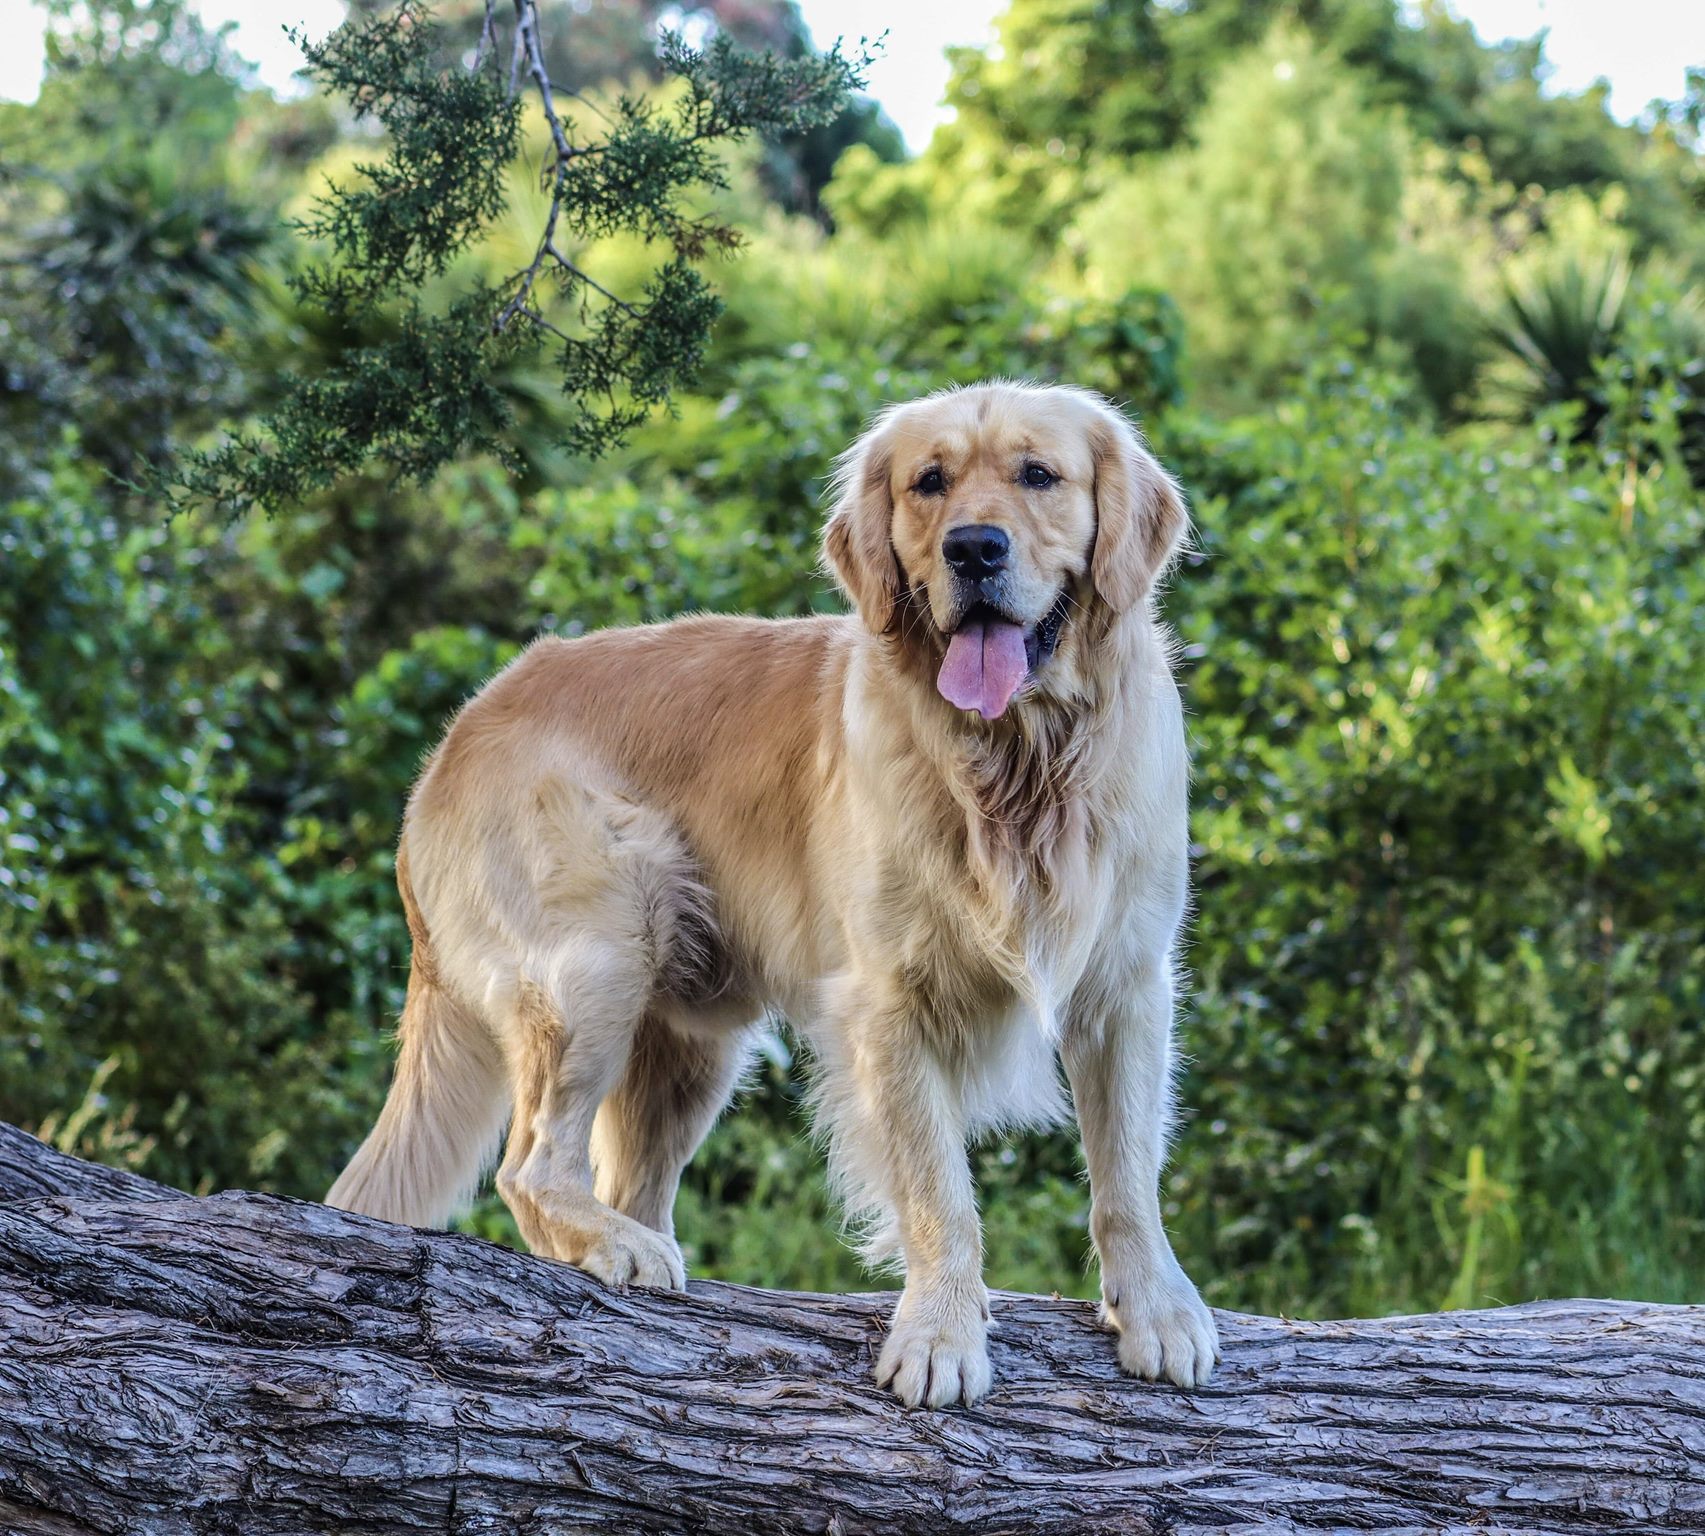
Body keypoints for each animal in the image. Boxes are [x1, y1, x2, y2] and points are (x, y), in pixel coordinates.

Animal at [329, 380, 1213, 1404]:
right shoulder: (888, 1004)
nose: (972, 549)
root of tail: (452, 741)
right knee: (532, 1168)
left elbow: (1127, 1175)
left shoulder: (1125, 987)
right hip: (600, 951)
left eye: (1039, 475)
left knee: (620, 1176)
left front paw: (1156, 1307)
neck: (1016, 767)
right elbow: (938, 1193)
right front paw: (942, 1333)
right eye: (928, 483)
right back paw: (622, 1249)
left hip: (692, 1044)